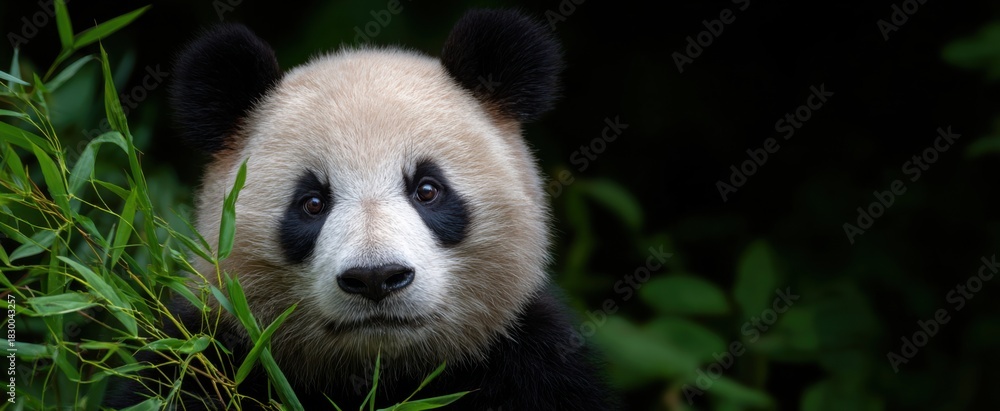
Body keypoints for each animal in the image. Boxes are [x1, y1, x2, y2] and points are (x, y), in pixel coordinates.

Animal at [107, 9, 614, 410]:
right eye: (312, 203)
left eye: (427, 190)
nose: (376, 278)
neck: (378, 372)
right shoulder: (205, 352)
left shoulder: (530, 359)